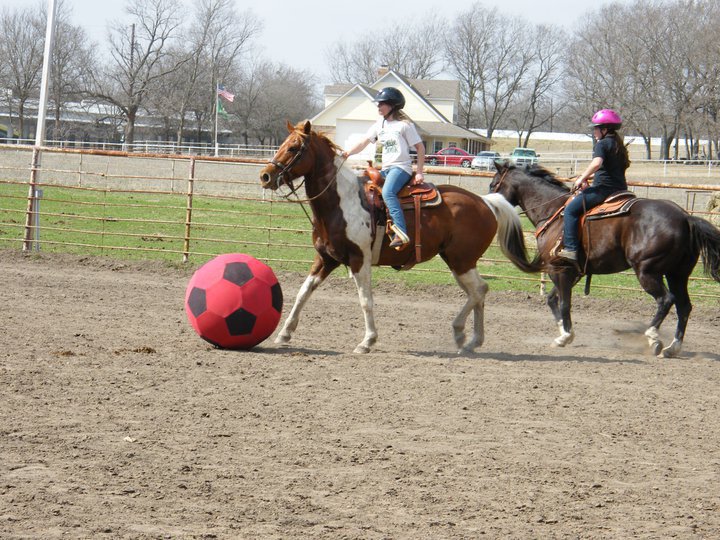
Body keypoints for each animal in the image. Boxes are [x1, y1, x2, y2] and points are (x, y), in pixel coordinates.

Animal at [258, 119, 540, 352]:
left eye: (294, 148)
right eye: (282, 144)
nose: (265, 176)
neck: (342, 203)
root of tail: (486, 202)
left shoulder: (359, 260)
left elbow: (365, 300)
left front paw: (367, 341)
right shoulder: (325, 259)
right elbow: (303, 292)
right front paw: (284, 334)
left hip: (462, 260)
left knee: (479, 290)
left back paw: (461, 333)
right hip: (457, 261)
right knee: (477, 292)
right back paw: (471, 340)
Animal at [490, 160, 720, 356]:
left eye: (493, 184)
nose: (489, 206)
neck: (552, 211)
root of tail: (685, 217)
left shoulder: (559, 269)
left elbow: (564, 303)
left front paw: (565, 336)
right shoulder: (571, 272)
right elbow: (553, 299)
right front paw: (564, 333)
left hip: (647, 271)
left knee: (666, 300)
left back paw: (653, 337)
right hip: (677, 274)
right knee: (684, 306)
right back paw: (673, 347)